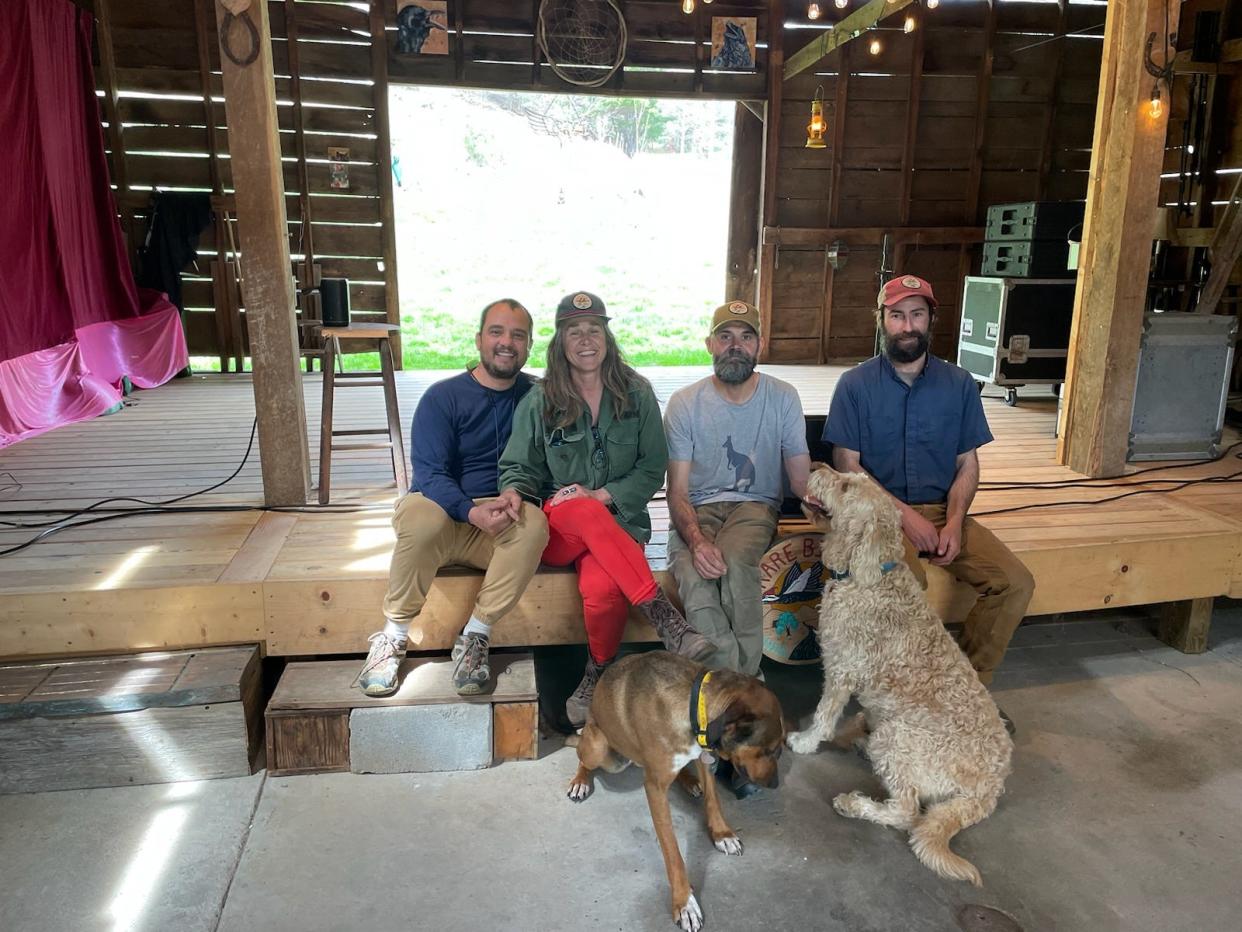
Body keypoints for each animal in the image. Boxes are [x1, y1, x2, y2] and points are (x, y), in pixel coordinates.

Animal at [568, 651, 779, 929]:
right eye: (769, 750)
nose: (776, 784)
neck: (694, 706)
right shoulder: (655, 788)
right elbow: (672, 851)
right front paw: (684, 902)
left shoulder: (703, 756)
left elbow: (713, 800)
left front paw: (722, 834)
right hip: (600, 749)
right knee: (583, 756)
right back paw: (580, 780)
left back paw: (689, 781)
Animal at [789, 464, 1013, 884]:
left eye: (845, 486)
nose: (816, 466)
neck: (869, 576)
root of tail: (989, 790)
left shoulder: (842, 668)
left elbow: (825, 715)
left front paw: (806, 740)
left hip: (899, 737)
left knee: (907, 812)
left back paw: (855, 804)